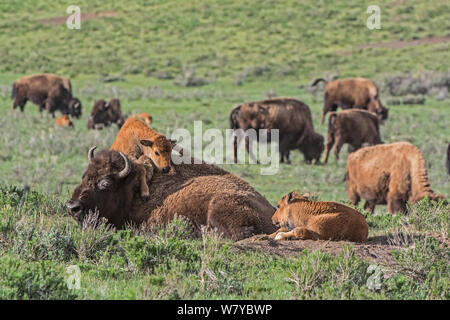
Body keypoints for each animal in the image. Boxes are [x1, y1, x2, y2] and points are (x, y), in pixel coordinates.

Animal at [66, 148, 278, 240]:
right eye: (84, 176)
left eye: (105, 183)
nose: (72, 207)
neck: (132, 189)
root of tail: (272, 213)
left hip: (219, 205)